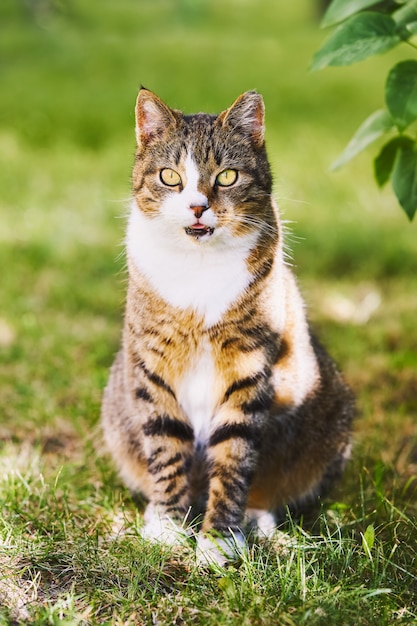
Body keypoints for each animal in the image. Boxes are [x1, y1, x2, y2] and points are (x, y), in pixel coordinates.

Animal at [100, 86, 352, 564]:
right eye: (170, 177)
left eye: (228, 177)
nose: (198, 206)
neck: (199, 267)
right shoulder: (154, 364)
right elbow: (166, 446)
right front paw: (168, 525)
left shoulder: (249, 367)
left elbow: (234, 457)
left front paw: (219, 538)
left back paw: (258, 522)